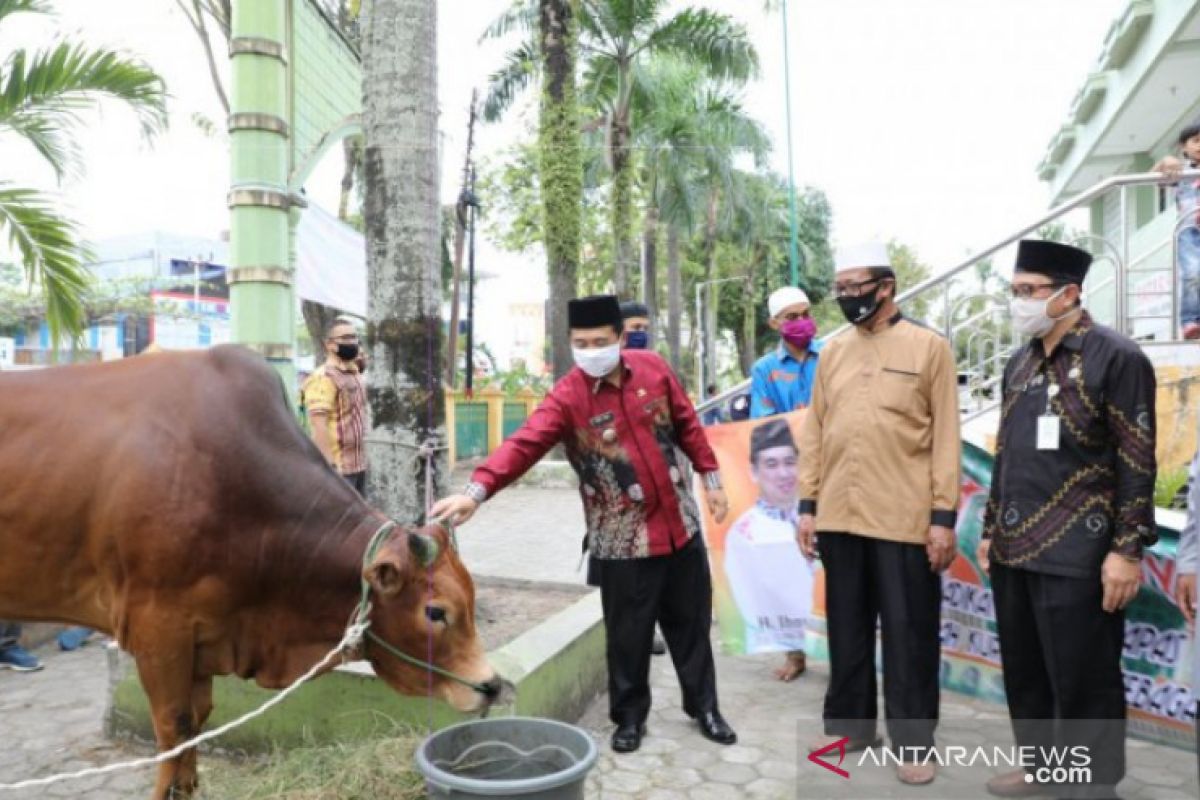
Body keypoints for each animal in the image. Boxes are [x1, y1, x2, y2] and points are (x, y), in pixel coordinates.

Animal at [0, 347, 499, 800]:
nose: (492, 686)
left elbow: (197, 725)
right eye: (436, 612)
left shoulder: (201, 636)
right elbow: (174, 728)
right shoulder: (156, 627)